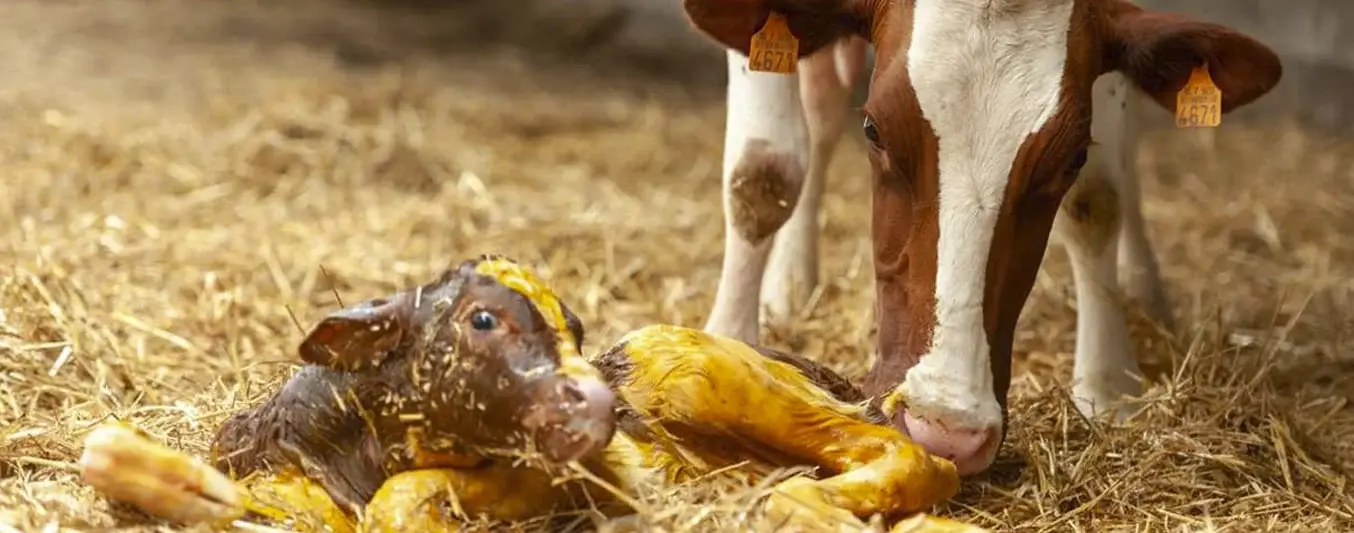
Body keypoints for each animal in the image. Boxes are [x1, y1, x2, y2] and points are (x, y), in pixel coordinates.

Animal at [81, 255, 985, 530]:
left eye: (574, 328)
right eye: (483, 320)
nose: (601, 406)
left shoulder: (573, 476)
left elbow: (412, 496)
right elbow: (109, 450)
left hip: (694, 368)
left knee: (909, 453)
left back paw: (803, 504)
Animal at [682, 0, 1283, 473]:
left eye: (1072, 158)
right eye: (874, 130)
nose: (945, 433)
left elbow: (1097, 200)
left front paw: (1107, 385)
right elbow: (764, 173)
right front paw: (729, 343)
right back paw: (790, 282)